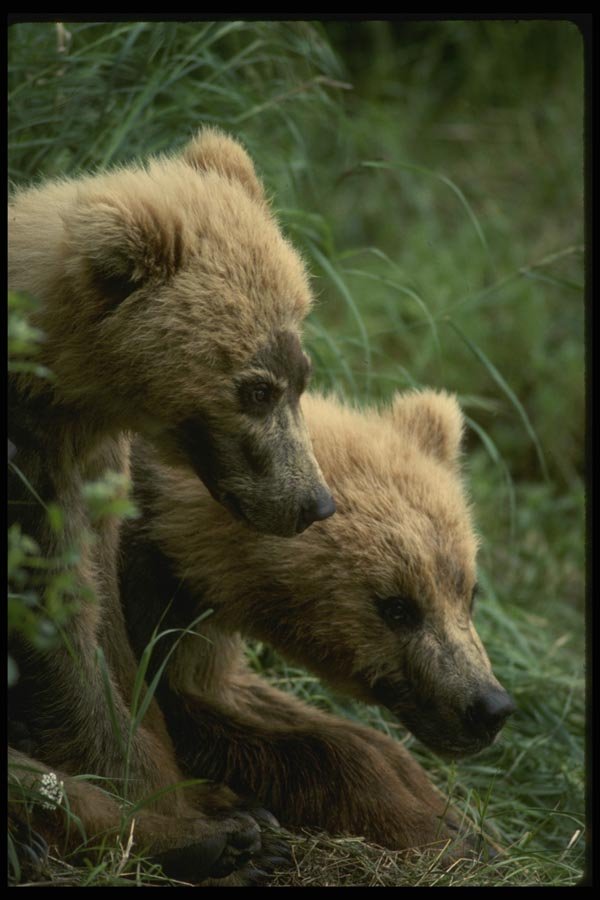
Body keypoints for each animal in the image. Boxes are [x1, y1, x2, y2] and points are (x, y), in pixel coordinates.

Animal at [8, 127, 334, 882]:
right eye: (255, 388)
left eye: (301, 375)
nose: (313, 501)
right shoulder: (28, 473)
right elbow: (59, 637)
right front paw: (179, 809)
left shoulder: (90, 476)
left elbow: (108, 637)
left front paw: (195, 790)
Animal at [118, 389, 515, 857]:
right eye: (397, 607)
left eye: (468, 592)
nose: (489, 708)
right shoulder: (143, 598)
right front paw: (430, 831)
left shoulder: (194, 621)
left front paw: (460, 819)